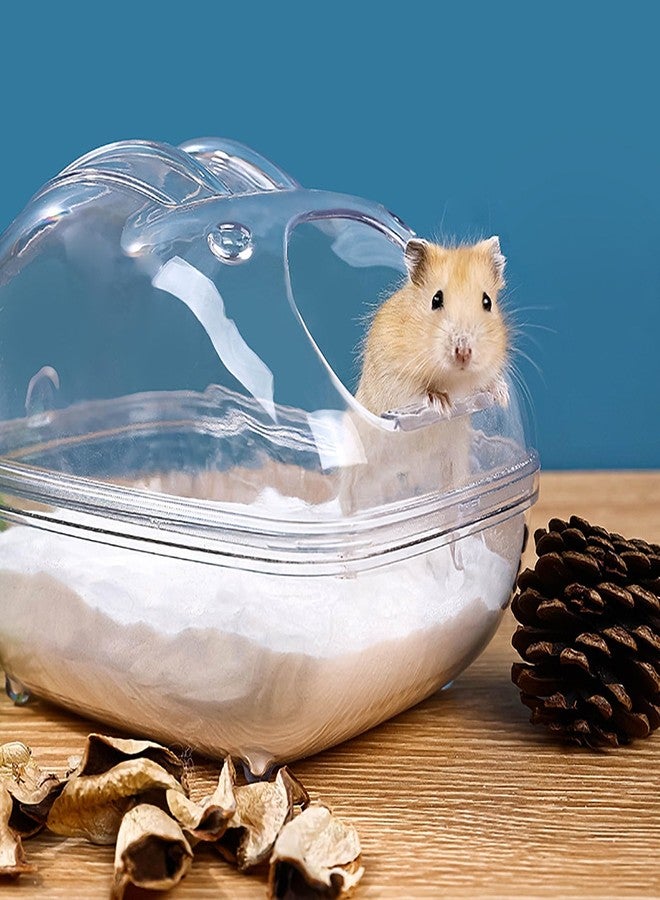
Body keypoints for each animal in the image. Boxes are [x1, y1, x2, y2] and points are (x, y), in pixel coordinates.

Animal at [356, 236, 509, 416]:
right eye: (436, 299)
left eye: (487, 302)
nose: (463, 353)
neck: (453, 377)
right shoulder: (393, 378)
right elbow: (416, 392)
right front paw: (443, 405)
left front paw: (502, 395)